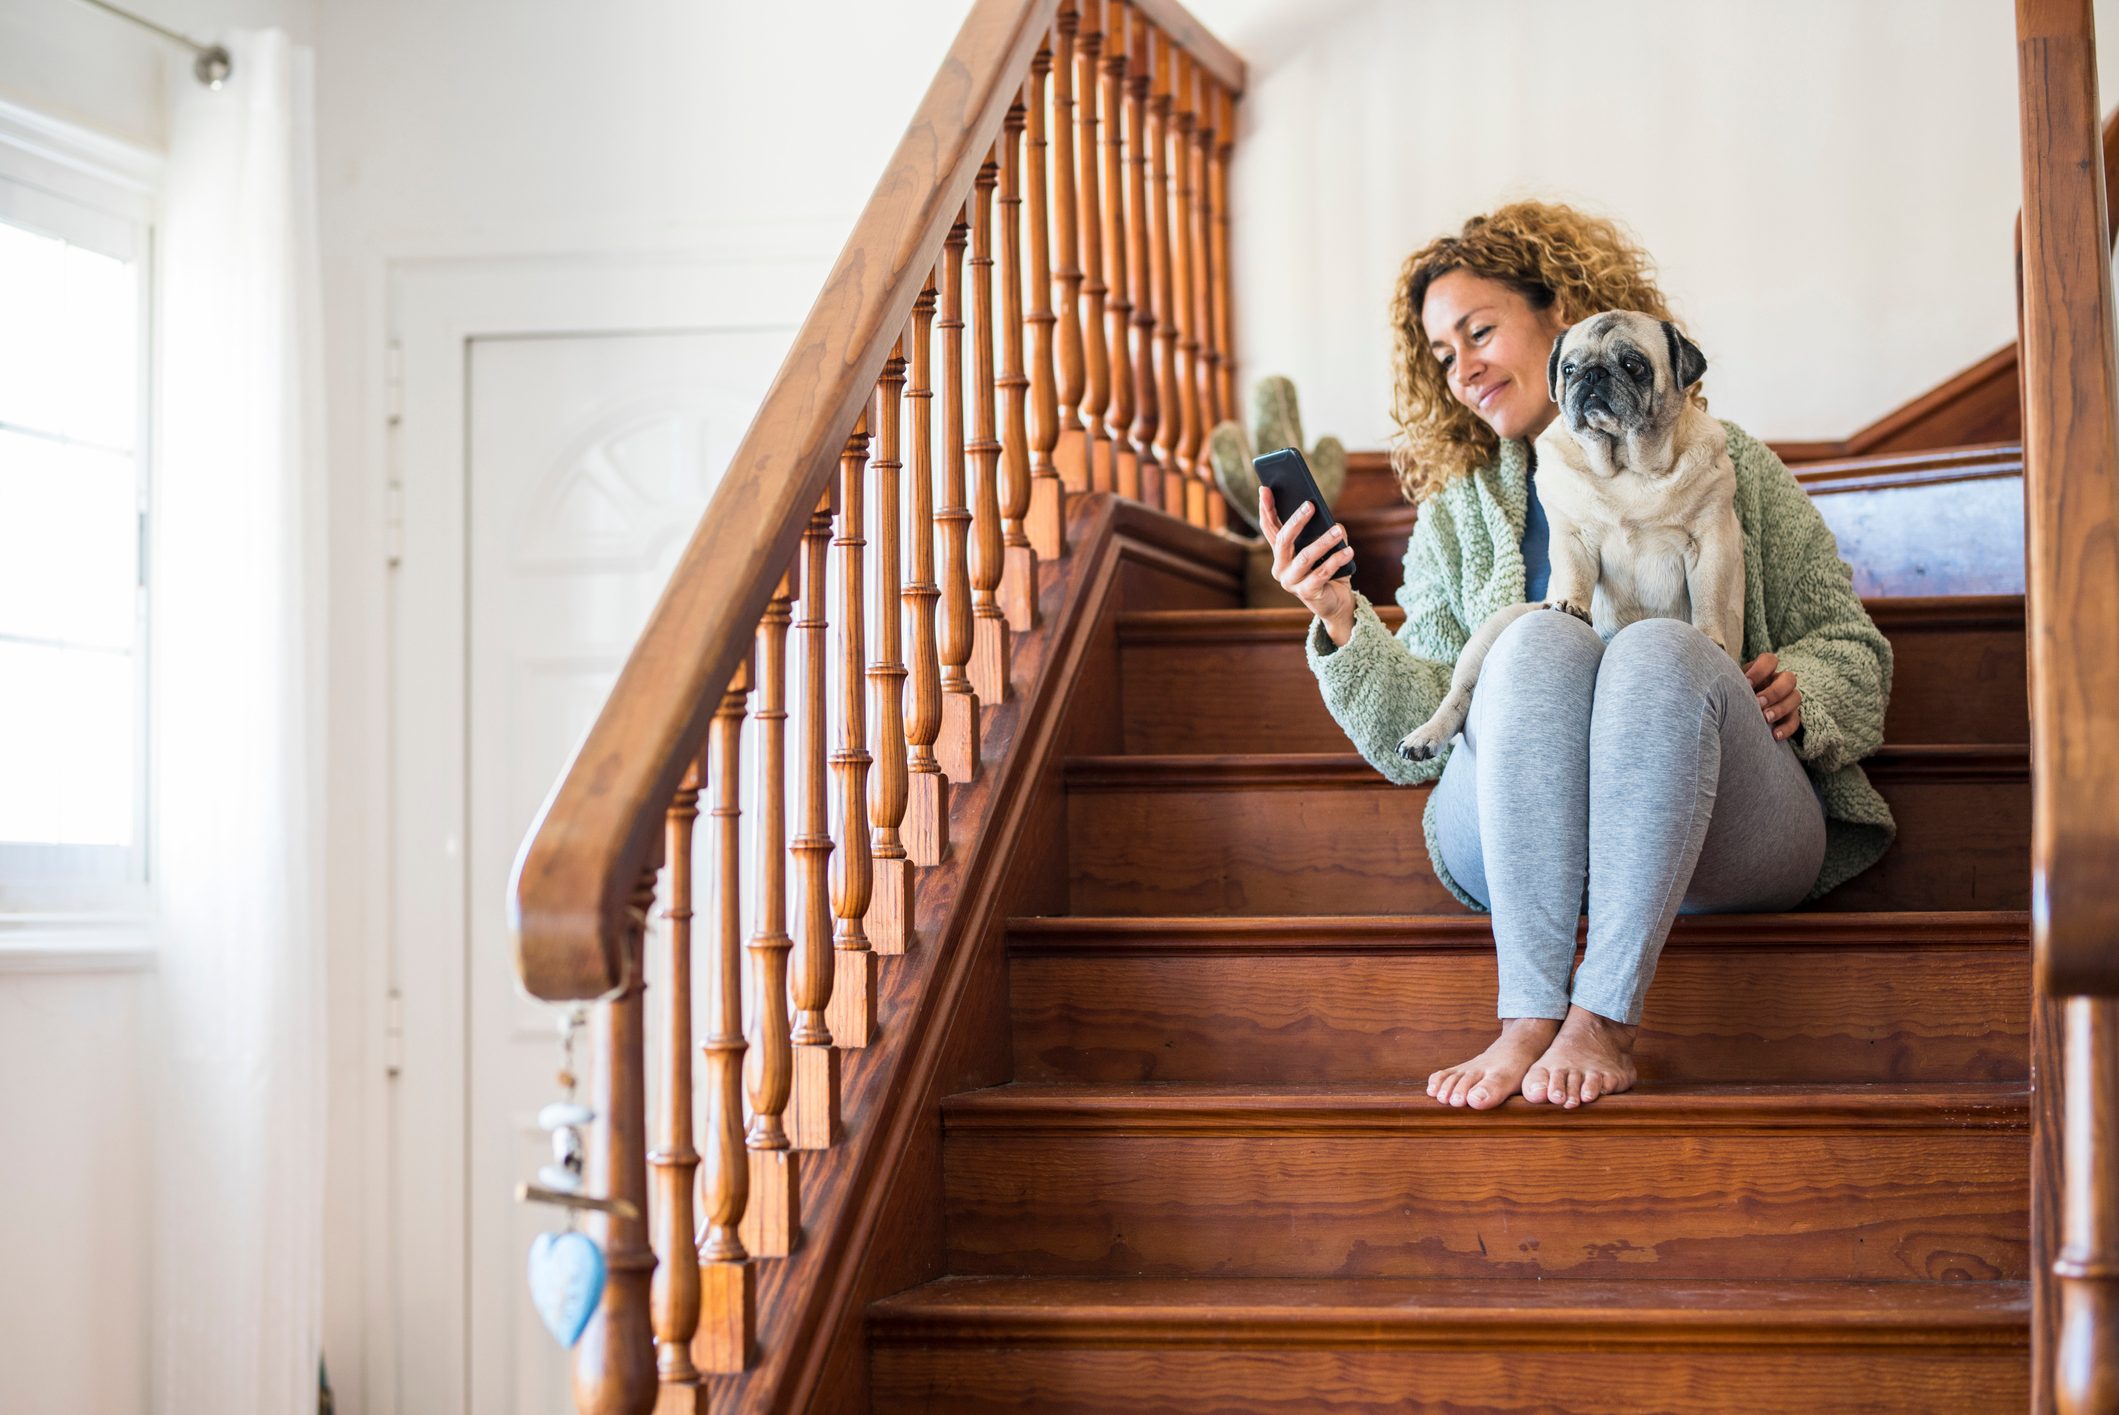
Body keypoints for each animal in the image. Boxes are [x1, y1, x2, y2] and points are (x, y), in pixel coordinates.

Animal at [1398, 311, 1729, 762]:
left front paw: (1711, 637)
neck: (1627, 467)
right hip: (1493, 631)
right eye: (1568, 370)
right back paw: (1425, 735)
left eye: (1633, 365)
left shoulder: (1708, 540)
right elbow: (1574, 573)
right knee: (1459, 693)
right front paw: (1572, 605)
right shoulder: (1573, 535)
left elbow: (1710, 597)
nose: (1591, 374)